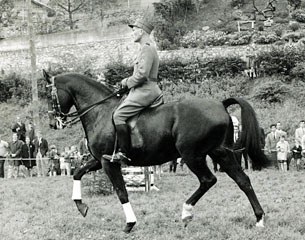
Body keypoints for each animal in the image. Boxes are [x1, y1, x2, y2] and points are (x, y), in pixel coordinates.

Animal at [43, 69, 268, 232]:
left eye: (48, 95)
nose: (53, 123)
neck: (101, 112)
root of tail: (220, 105)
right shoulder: (99, 160)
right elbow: (78, 173)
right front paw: (81, 206)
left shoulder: (109, 162)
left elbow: (121, 192)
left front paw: (130, 224)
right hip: (221, 153)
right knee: (243, 181)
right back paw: (259, 219)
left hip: (192, 155)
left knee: (208, 180)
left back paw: (186, 212)